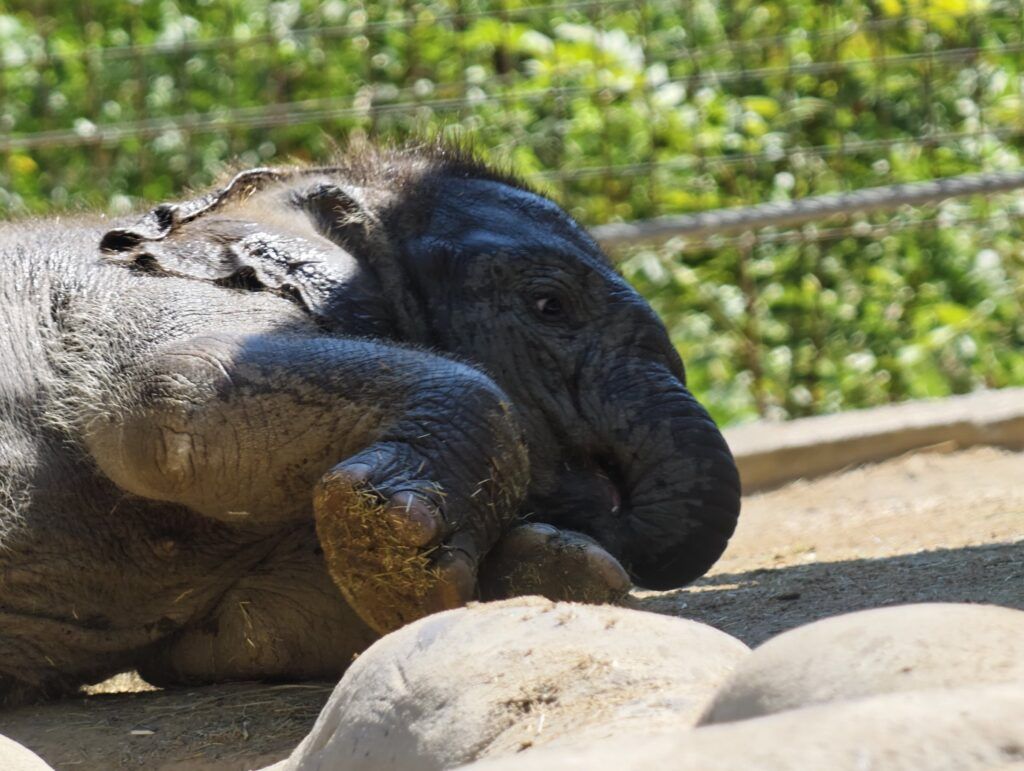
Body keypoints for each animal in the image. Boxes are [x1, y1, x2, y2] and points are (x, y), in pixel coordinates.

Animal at [0, 143, 740, 705]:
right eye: (549, 305)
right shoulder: (140, 295)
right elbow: (172, 386)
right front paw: (401, 552)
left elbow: (256, 628)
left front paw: (551, 573)